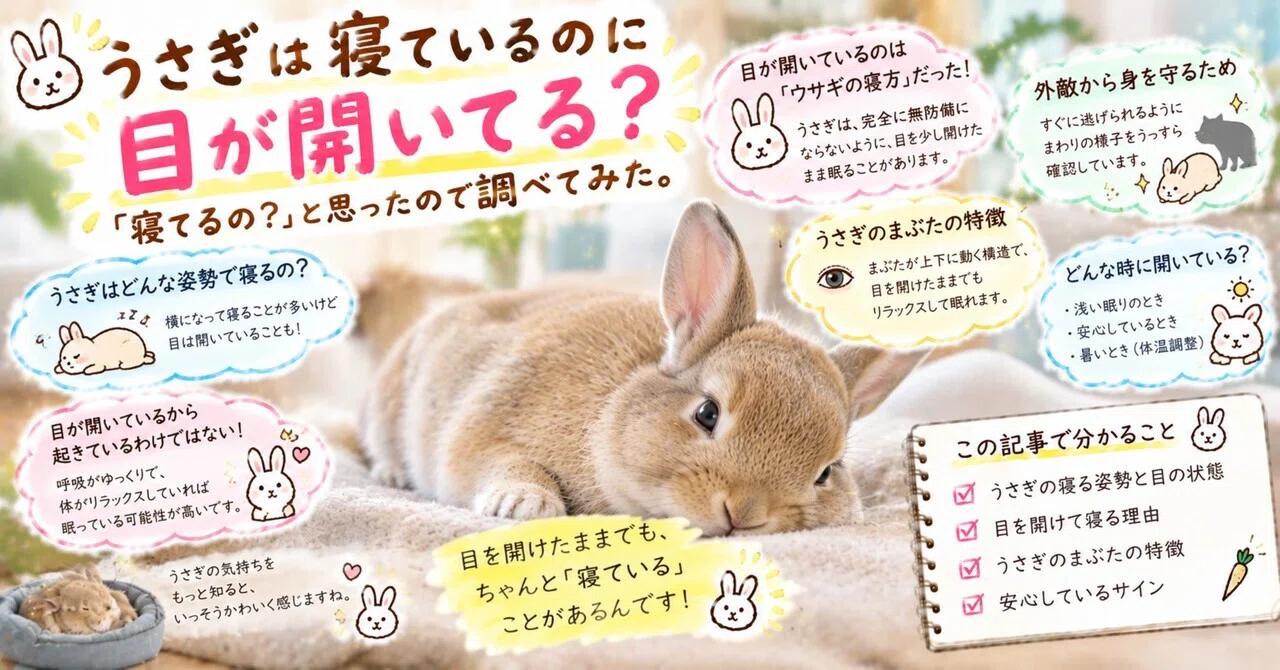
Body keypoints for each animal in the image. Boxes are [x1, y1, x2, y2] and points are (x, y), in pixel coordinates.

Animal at [359, 199, 931, 537]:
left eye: (827, 472)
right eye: (706, 413)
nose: (743, 515)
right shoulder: (485, 430)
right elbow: (504, 463)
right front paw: (526, 505)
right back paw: (392, 471)